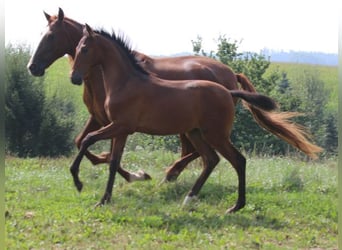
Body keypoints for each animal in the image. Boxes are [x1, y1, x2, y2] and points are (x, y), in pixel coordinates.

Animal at [28, 8, 322, 184]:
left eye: (51, 36)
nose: (33, 67)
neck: (104, 74)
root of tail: (230, 74)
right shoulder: (100, 118)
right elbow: (84, 143)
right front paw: (127, 172)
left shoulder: (114, 122)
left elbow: (104, 151)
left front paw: (135, 174)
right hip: (191, 126)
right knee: (199, 153)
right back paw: (173, 174)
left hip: (195, 126)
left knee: (198, 153)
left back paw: (171, 173)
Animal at [69, 24, 278, 213]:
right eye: (76, 48)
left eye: (84, 49)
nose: (74, 78)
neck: (126, 83)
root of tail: (228, 92)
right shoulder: (121, 130)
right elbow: (113, 161)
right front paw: (104, 200)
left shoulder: (120, 126)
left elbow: (88, 140)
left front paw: (78, 182)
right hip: (195, 133)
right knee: (211, 159)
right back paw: (188, 199)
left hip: (215, 135)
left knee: (238, 160)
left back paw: (235, 206)